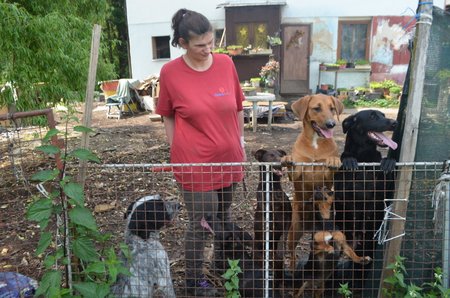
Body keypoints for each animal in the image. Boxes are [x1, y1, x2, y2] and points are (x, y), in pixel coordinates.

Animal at [282, 94, 344, 268]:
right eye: (317, 108)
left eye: (332, 108)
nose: (331, 124)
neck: (316, 142)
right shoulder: (297, 173)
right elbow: (293, 169)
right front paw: (287, 159)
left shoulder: (328, 177)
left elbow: (331, 168)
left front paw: (334, 160)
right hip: (294, 232)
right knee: (292, 254)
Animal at [334, 109, 398, 294]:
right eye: (372, 116)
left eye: (383, 115)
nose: (395, 123)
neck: (365, 155)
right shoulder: (341, 193)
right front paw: (349, 159)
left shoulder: (384, 190)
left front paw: (388, 161)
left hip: (369, 245)